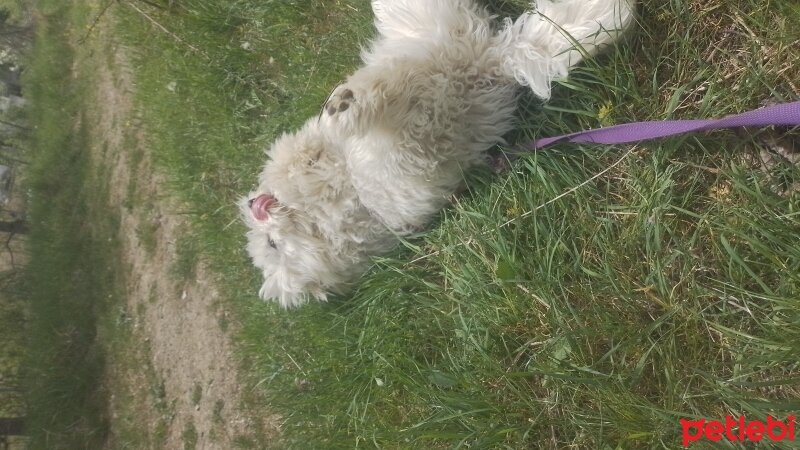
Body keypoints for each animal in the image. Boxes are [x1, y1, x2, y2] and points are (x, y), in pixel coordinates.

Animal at [241, 0, 636, 308]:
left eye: (271, 244)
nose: (254, 206)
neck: (351, 190)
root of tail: (486, 61)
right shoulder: (407, 164)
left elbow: (352, 116)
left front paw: (342, 112)